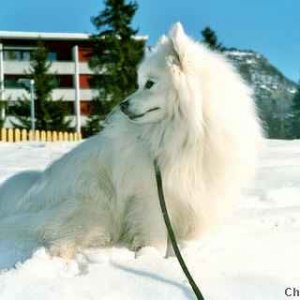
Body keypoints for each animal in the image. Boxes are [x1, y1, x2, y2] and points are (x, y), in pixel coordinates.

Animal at [0, 23, 262, 258]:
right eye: (140, 83)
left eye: (149, 84)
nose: (122, 105)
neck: (181, 131)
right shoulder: (151, 195)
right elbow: (156, 233)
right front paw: (151, 258)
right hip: (95, 206)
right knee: (59, 237)